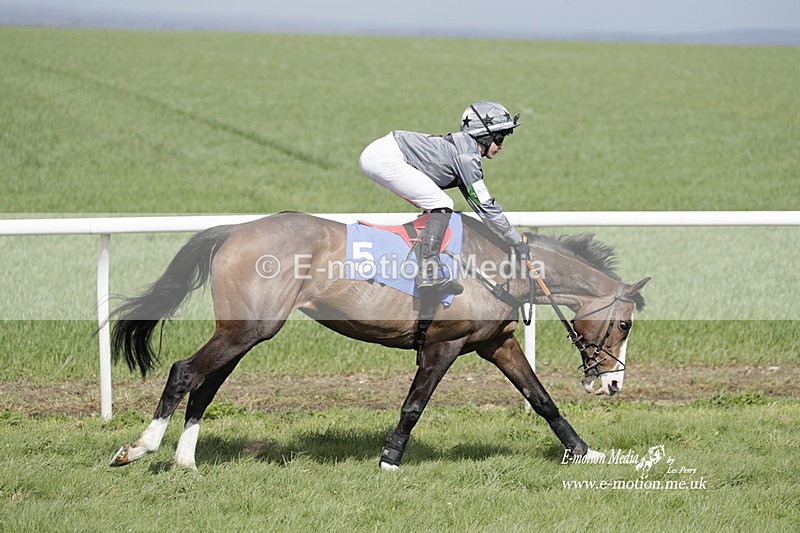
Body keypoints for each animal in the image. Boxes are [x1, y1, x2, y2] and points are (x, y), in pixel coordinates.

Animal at [108, 211, 649, 471]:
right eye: (624, 326)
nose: (614, 384)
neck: (503, 267)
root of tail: (233, 231)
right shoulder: (444, 345)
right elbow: (414, 405)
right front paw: (390, 459)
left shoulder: (496, 343)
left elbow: (542, 399)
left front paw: (584, 452)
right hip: (250, 329)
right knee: (185, 371)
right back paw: (139, 449)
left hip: (241, 332)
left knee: (206, 383)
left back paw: (185, 460)